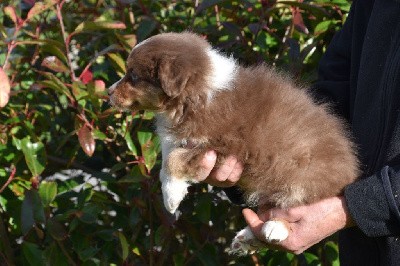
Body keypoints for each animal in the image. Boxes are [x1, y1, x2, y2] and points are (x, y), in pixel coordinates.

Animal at [108, 32, 360, 255]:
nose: (108, 92)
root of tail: (350, 173)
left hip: (301, 172)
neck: (197, 94)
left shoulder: (225, 145)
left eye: (133, 76)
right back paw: (247, 239)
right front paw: (172, 191)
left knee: (293, 203)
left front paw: (171, 198)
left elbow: (173, 159)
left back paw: (275, 228)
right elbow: (166, 160)